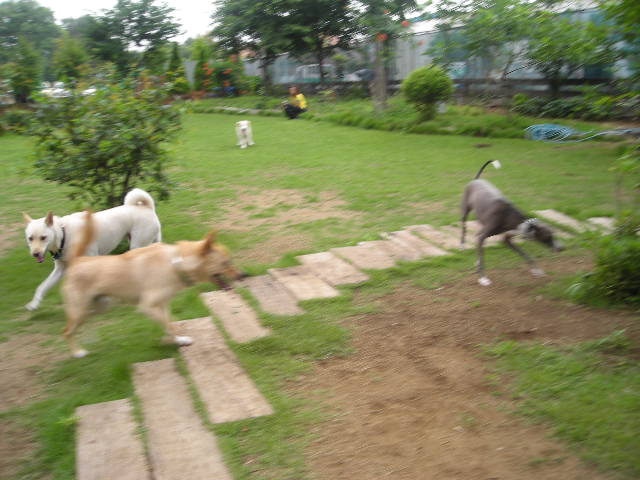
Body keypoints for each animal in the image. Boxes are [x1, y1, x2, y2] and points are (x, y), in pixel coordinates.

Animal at [23, 188, 161, 311]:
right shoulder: (60, 269)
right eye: (30, 238)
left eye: (43, 237)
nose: (35, 254)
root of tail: (146, 207)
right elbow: (42, 287)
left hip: (137, 245)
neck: (64, 234)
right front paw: (34, 304)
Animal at [61, 210, 247, 358]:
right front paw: (181, 339)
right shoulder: (148, 305)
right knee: (67, 331)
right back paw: (77, 352)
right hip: (80, 309)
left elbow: (169, 322)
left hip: (99, 306)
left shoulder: (163, 304)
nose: (244, 275)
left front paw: (171, 339)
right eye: (226, 263)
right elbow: (168, 325)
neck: (175, 263)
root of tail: (77, 261)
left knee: (77, 323)